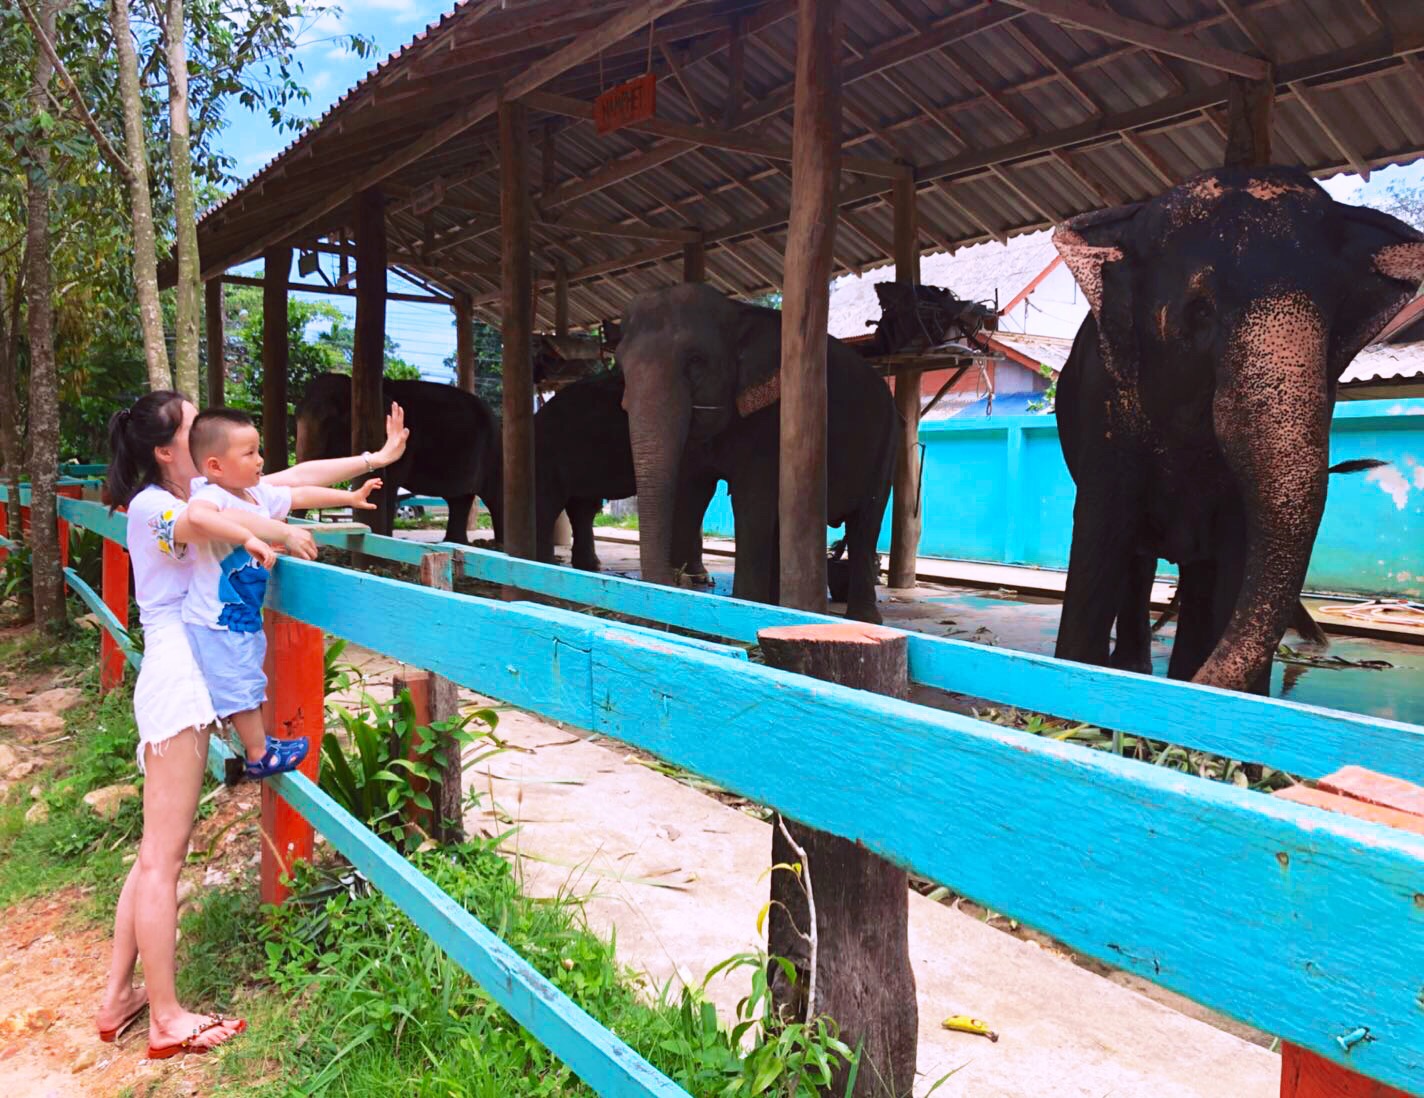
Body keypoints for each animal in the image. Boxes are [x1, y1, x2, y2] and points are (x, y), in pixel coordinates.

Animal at [294, 373, 506, 544]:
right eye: (296, 415)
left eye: (329, 421)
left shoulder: (405, 444)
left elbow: (389, 483)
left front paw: (383, 537)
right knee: (460, 500)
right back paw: (456, 542)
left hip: (493, 454)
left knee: (495, 499)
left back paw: (499, 545)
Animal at [620, 281, 894, 626]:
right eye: (620, 366)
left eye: (696, 360)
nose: (678, 580)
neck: (739, 312)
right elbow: (691, 491)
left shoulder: (771, 421)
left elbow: (751, 500)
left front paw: (739, 609)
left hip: (888, 443)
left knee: (866, 522)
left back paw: (864, 619)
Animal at [1053, 160, 1418, 694]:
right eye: (1201, 311)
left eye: (1332, 317)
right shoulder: (1104, 402)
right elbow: (1102, 534)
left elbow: (1238, 549)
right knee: (1137, 558)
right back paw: (1137, 670)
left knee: (1197, 571)